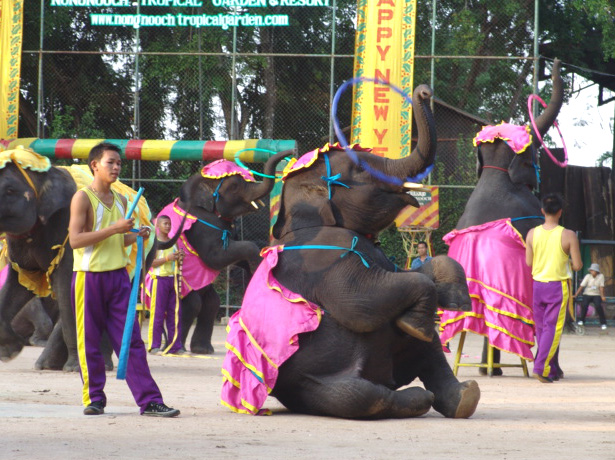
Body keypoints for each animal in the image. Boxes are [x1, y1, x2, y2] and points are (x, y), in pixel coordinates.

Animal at [221, 84, 482, 418]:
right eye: (360, 168)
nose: (423, 91)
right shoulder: (327, 260)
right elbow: (362, 304)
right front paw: (417, 323)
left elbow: (409, 272)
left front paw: (457, 301)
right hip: (305, 387)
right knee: (361, 395)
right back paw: (420, 393)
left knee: (429, 352)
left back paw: (464, 397)